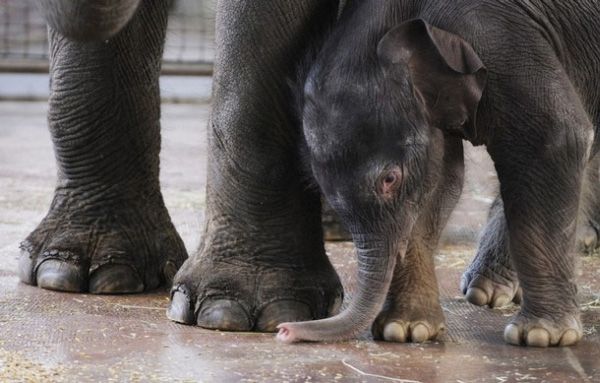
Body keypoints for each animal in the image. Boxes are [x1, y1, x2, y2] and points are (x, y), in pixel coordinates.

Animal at [278, 0, 600, 348]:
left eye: (389, 179)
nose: (283, 330)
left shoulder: (495, 35)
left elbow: (555, 137)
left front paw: (541, 336)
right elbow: (440, 183)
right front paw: (405, 330)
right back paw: (487, 289)